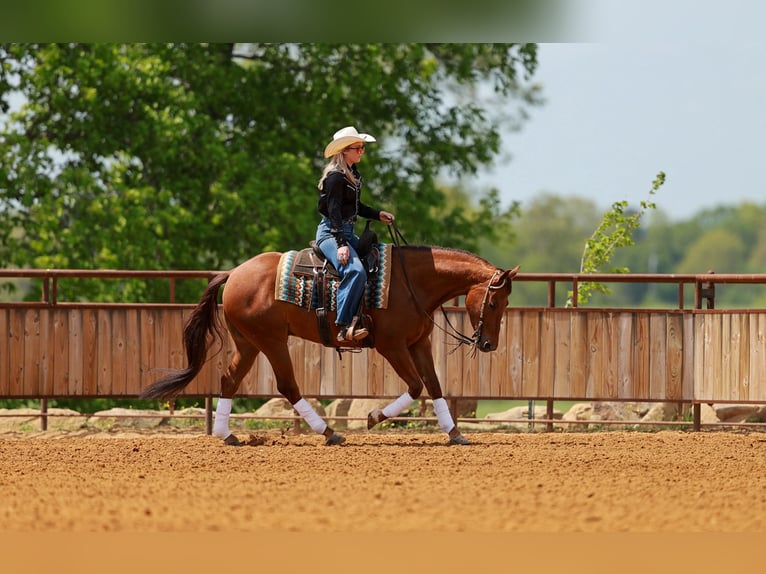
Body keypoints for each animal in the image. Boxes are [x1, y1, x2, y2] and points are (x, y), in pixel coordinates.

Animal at [139, 244, 520, 445]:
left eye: (503, 304)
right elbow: (414, 386)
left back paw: (226, 435)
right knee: (288, 386)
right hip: (271, 341)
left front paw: (455, 433)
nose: (488, 344)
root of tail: (233, 274)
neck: (410, 283)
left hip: (247, 343)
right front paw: (373, 417)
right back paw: (330, 433)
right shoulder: (392, 346)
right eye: (493, 303)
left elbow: (435, 386)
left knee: (229, 380)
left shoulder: (419, 344)